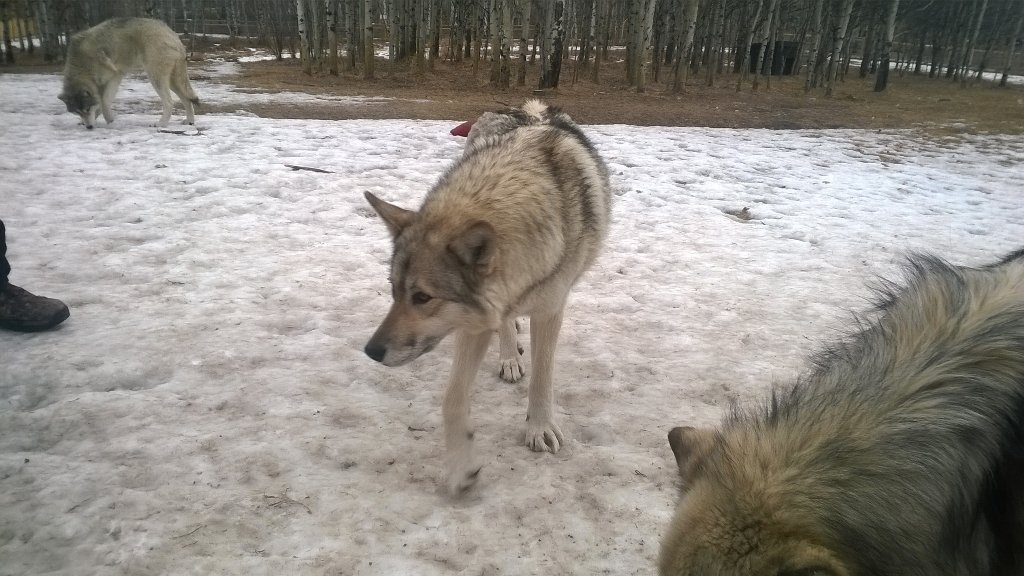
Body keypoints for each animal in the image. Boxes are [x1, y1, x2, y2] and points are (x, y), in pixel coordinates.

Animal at [59, 17, 199, 129]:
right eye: (77, 112)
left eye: (87, 109)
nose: (89, 127)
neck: (83, 65)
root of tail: (172, 33)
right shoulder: (102, 84)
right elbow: (101, 103)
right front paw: (87, 120)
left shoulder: (114, 77)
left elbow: (104, 102)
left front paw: (110, 120)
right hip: (172, 82)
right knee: (187, 100)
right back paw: (189, 121)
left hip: (156, 78)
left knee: (169, 102)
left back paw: (161, 124)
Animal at [364, 100, 611, 494]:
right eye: (393, 289)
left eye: (422, 297)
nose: (371, 352)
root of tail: (527, 108)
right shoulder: (474, 322)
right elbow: (452, 399)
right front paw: (461, 469)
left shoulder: (549, 310)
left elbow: (543, 377)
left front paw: (539, 428)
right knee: (506, 326)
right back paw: (510, 358)